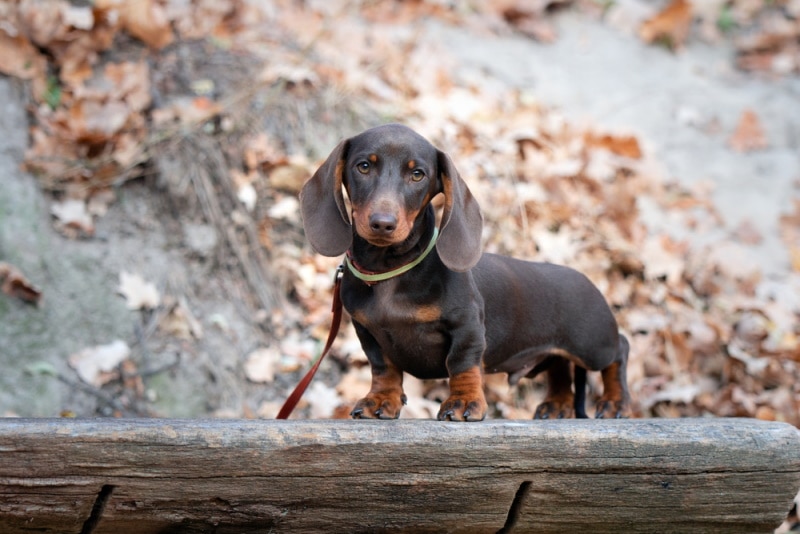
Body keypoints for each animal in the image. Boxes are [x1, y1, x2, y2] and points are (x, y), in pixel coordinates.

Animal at [300, 123, 632, 420]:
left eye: (417, 174)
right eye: (364, 166)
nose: (383, 223)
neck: (390, 270)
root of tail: (586, 279)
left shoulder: (467, 326)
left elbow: (461, 365)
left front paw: (464, 402)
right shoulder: (367, 332)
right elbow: (384, 368)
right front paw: (381, 399)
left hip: (592, 344)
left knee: (620, 349)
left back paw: (615, 403)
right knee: (560, 368)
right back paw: (557, 405)